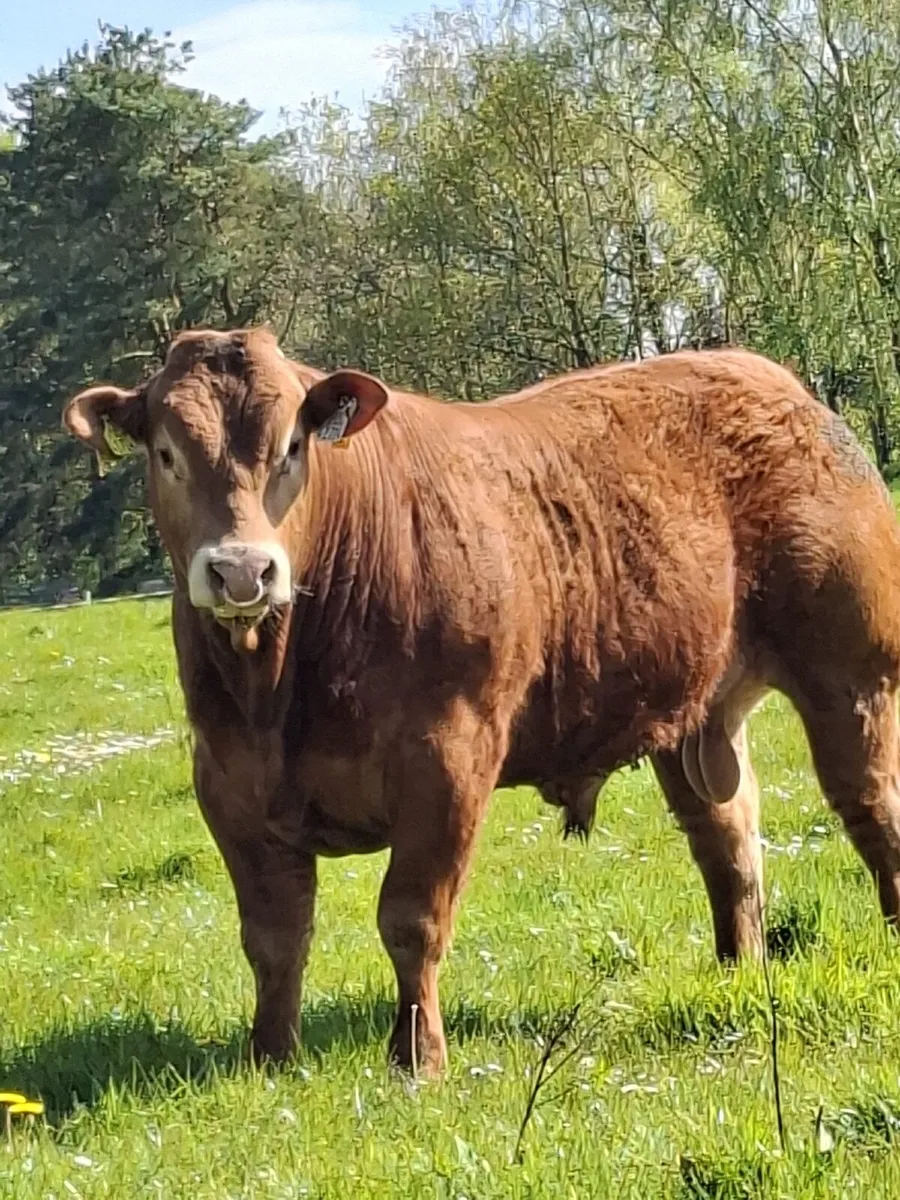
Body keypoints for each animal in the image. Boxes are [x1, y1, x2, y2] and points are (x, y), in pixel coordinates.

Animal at [63, 327, 900, 1077]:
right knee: (727, 840)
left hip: (851, 674)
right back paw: (737, 970)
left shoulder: (448, 760)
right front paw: (269, 1057)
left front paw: (417, 1058)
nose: (242, 571)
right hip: (696, 712)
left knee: (870, 808)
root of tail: (777, 385)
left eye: (291, 448)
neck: (281, 685)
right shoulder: (228, 781)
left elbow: (411, 919)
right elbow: (273, 935)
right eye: (167, 454)